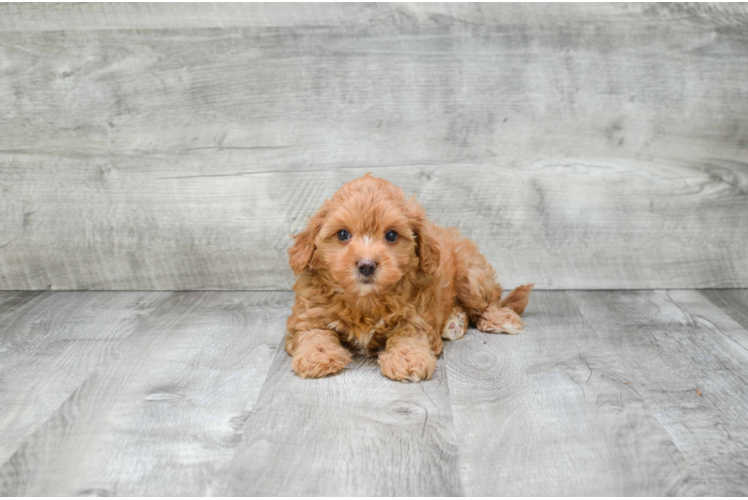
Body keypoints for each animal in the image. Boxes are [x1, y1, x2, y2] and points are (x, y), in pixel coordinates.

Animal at [284, 174, 532, 380]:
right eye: (343, 234)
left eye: (391, 235)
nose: (366, 265)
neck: (366, 300)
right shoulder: (309, 314)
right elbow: (314, 333)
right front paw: (317, 355)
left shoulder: (417, 315)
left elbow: (410, 334)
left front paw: (407, 359)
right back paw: (455, 321)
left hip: (470, 276)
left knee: (489, 301)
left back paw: (499, 319)